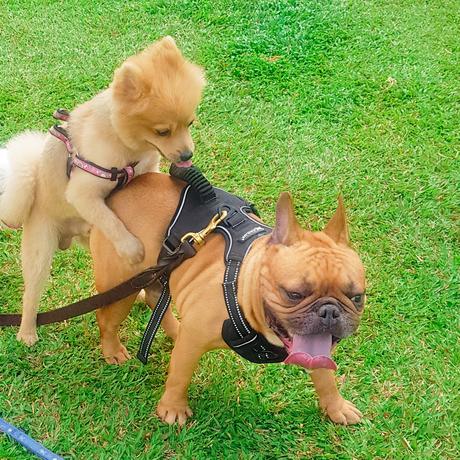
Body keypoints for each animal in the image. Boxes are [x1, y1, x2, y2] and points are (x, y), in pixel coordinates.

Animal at [0, 36, 205, 344]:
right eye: (162, 132)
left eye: (189, 123)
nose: (186, 155)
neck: (125, 145)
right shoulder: (83, 193)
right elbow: (111, 219)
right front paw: (132, 248)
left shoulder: (147, 169)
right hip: (41, 248)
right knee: (32, 292)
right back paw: (27, 331)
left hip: (91, 238)